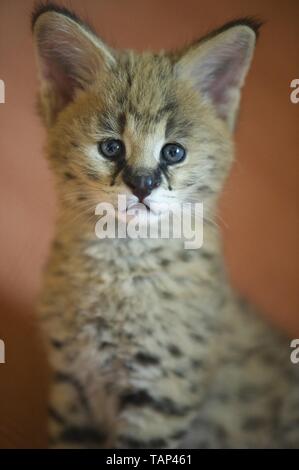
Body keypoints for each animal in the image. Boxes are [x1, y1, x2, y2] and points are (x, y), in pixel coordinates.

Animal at [32, 2, 299, 448]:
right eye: (111, 148)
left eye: (173, 152)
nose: (142, 184)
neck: (123, 257)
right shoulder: (72, 385)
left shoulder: (159, 397)